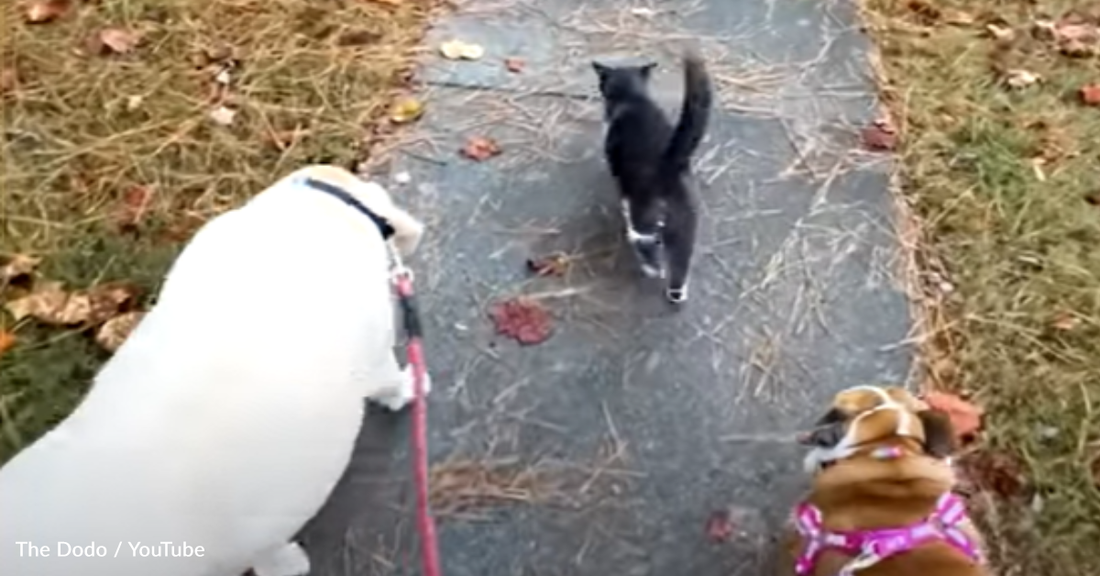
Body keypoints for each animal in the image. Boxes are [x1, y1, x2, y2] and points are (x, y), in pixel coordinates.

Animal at [594, 50, 712, 305]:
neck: (633, 99)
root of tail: (670, 166)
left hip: (646, 223)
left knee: (650, 249)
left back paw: (651, 269)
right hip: (686, 227)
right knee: (681, 263)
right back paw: (677, 293)